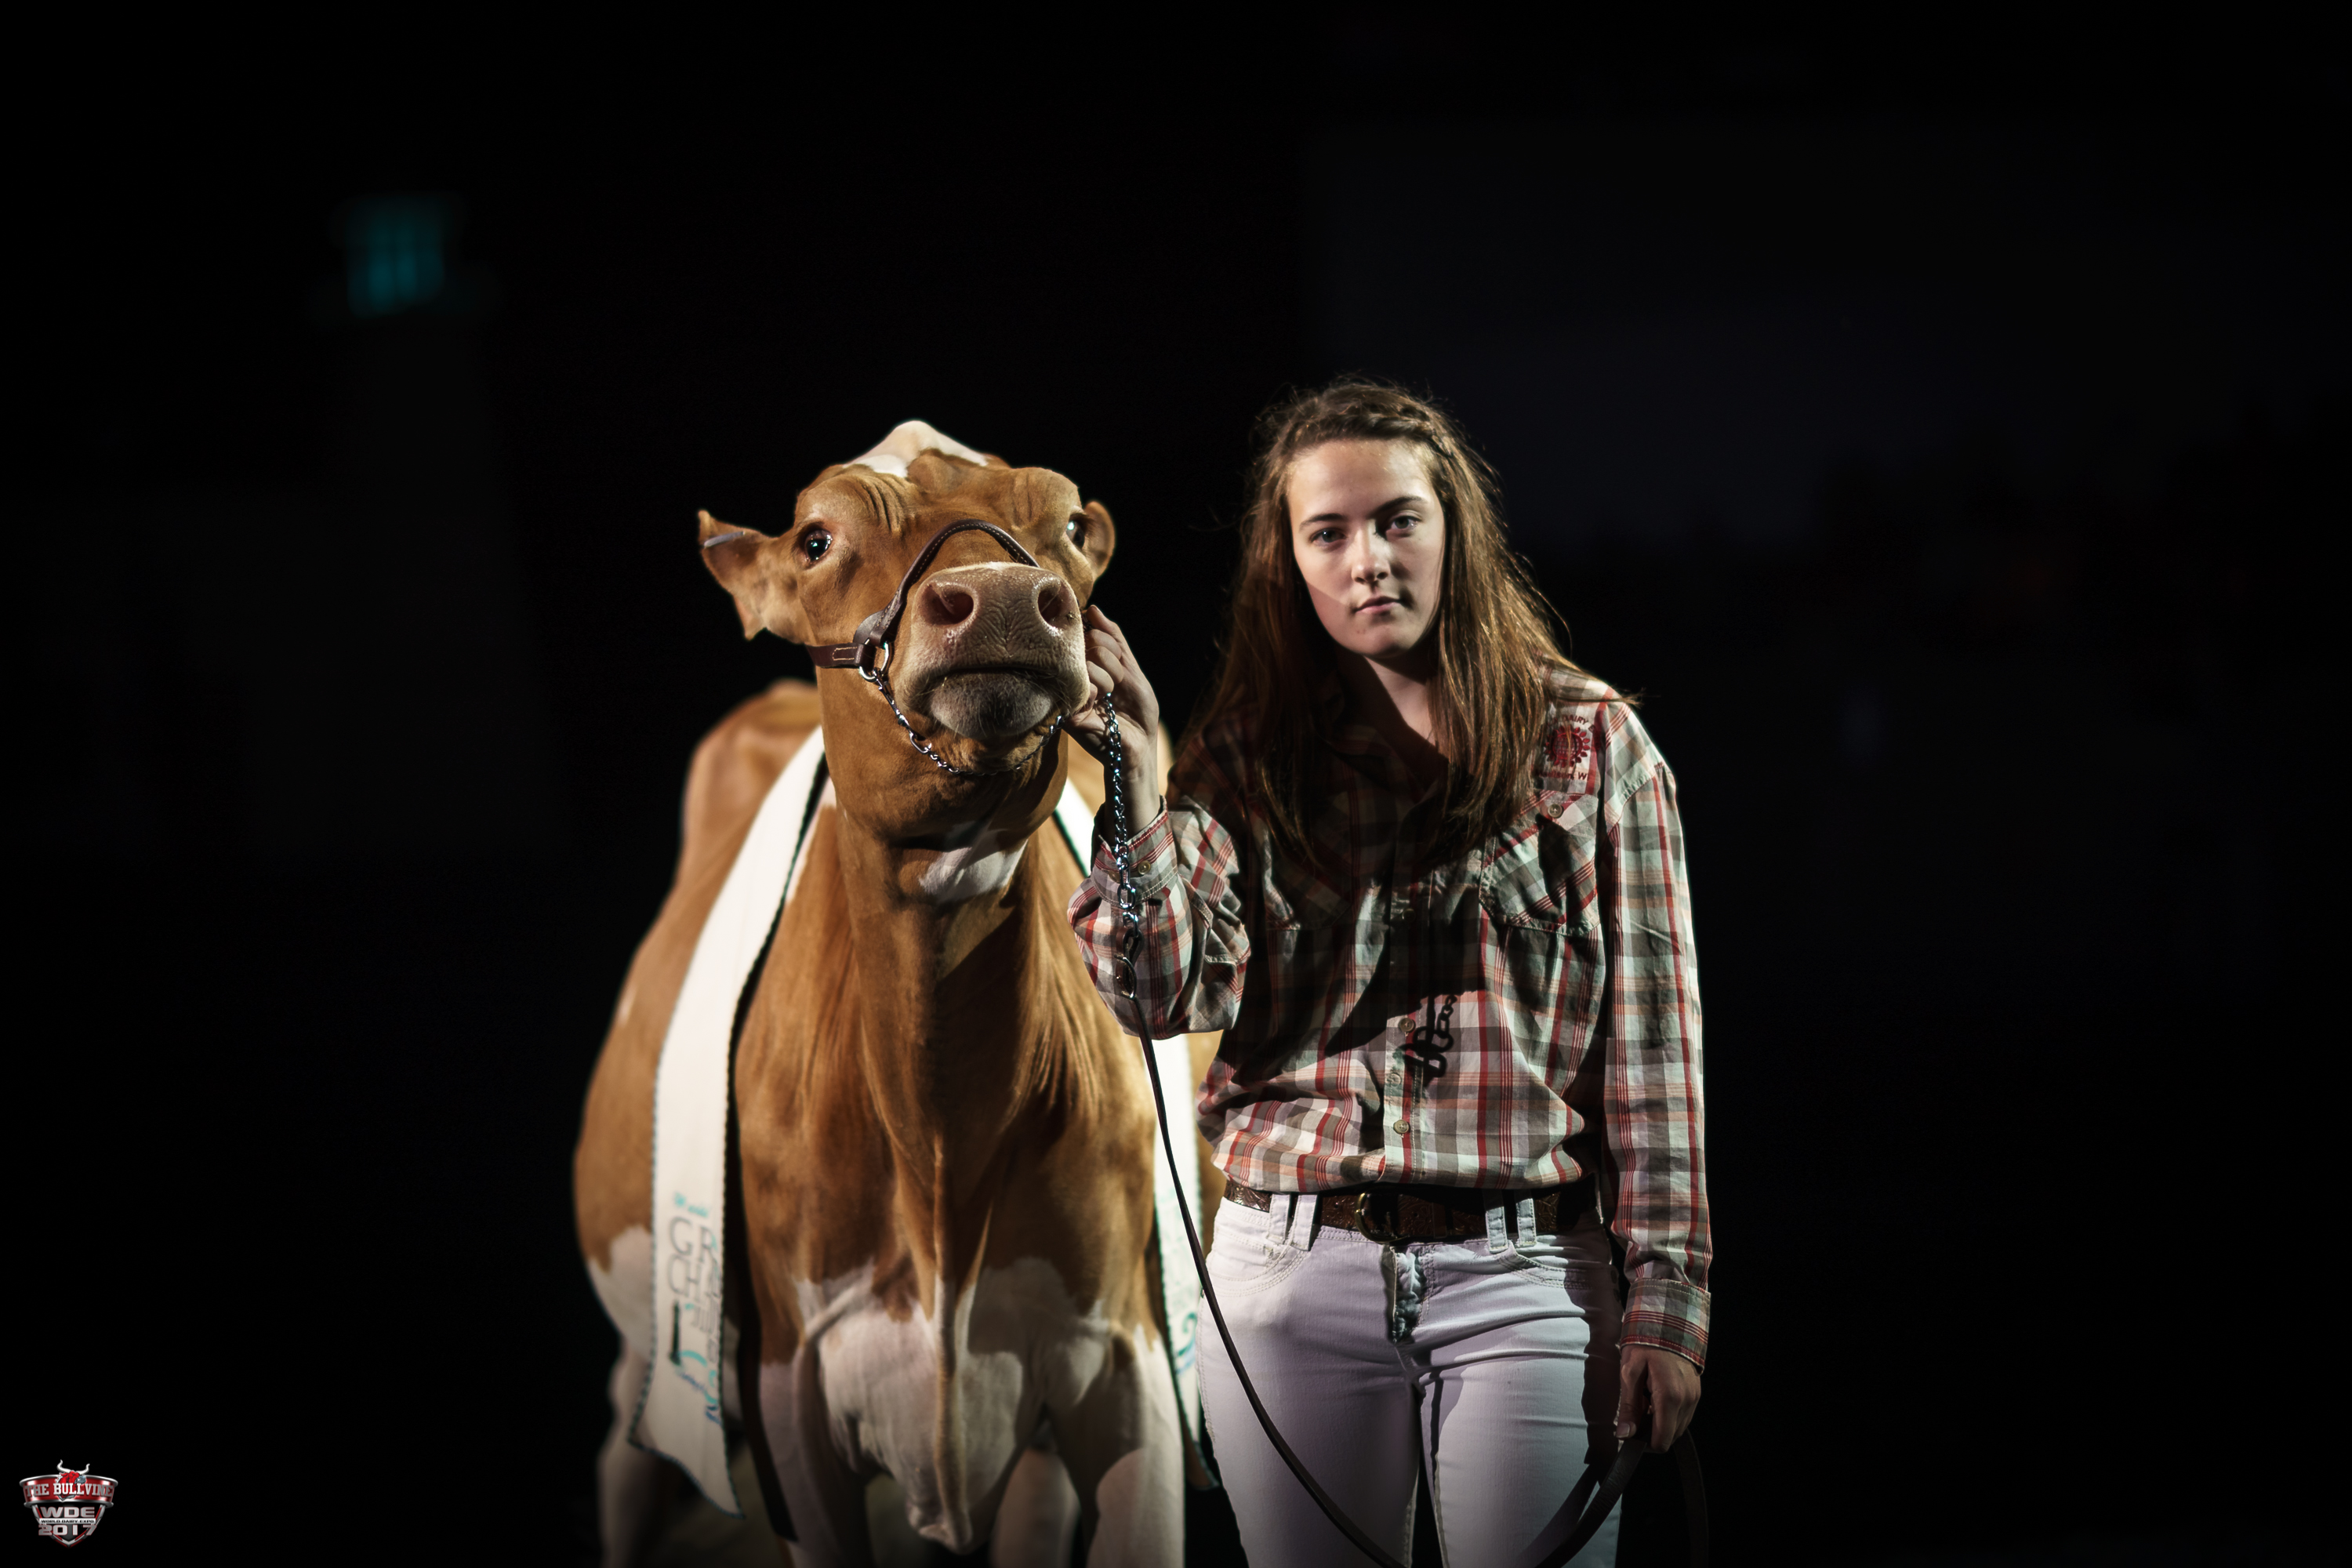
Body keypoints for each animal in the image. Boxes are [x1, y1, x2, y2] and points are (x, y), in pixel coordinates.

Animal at [574, 424, 1215, 1568]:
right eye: (818, 537)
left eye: (1065, 523)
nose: (1003, 600)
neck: (938, 1133)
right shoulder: (788, 1388)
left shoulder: (1125, 1360)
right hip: (655, 1338)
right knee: (629, 1448)